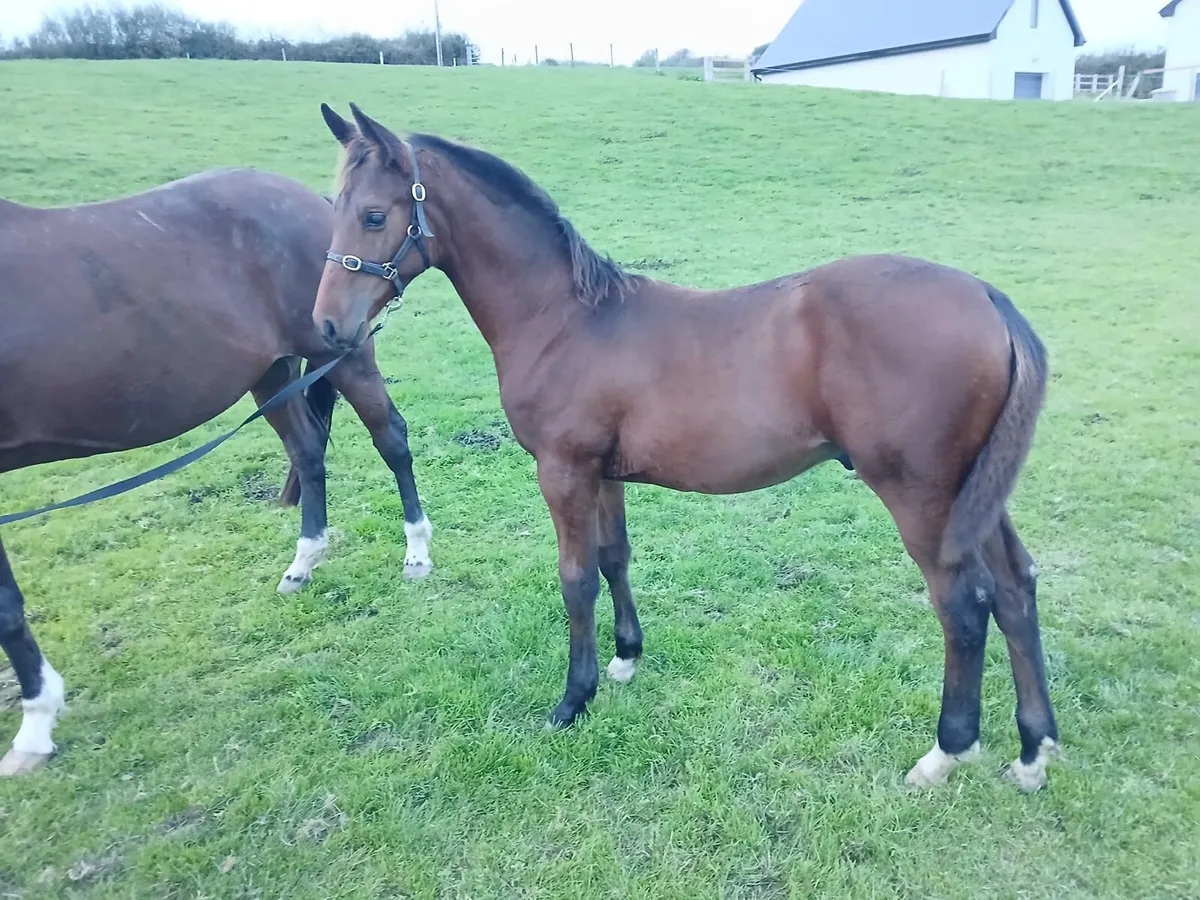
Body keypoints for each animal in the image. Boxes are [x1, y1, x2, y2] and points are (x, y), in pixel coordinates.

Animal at [0, 167, 436, 776]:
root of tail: (316, 200)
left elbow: (6, 607)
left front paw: (36, 725)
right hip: (273, 372)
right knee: (308, 452)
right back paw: (304, 561)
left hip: (344, 355)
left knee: (390, 439)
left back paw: (417, 551)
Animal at [312, 102, 1059, 792]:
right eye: (334, 206)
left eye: (374, 216)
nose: (327, 327)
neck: (565, 319)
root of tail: (988, 298)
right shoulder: (603, 472)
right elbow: (614, 557)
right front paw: (625, 661)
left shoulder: (562, 471)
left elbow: (576, 578)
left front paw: (571, 701)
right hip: (974, 490)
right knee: (1016, 586)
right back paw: (1033, 752)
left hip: (922, 494)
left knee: (964, 604)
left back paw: (945, 752)